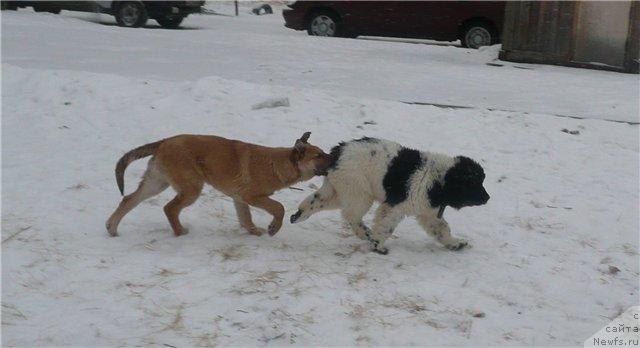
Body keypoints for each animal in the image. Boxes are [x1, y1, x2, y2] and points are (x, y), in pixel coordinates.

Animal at [105, 132, 330, 238]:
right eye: (318, 155)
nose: (335, 157)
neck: (277, 164)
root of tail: (164, 141)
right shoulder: (252, 197)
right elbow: (279, 208)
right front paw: (273, 228)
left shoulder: (239, 199)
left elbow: (245, 219)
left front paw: (254, 232)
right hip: (191, 188)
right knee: (169, 208)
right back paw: (180, 232)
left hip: (156, 183)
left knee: (129, 200)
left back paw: (112, 228)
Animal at [290, 137, 490, 254]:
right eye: (473, 183)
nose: (487, 198)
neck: (438, 178)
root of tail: (336, 153)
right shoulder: (396, 206)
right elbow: (386, 226)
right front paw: (378, 245)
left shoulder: (428, 213)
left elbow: (441, 229)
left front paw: (455, 243)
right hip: (359, 191)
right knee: (351, 216)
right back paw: (366, 233)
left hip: (339, 189)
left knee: (316, 201)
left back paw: (298, 215)